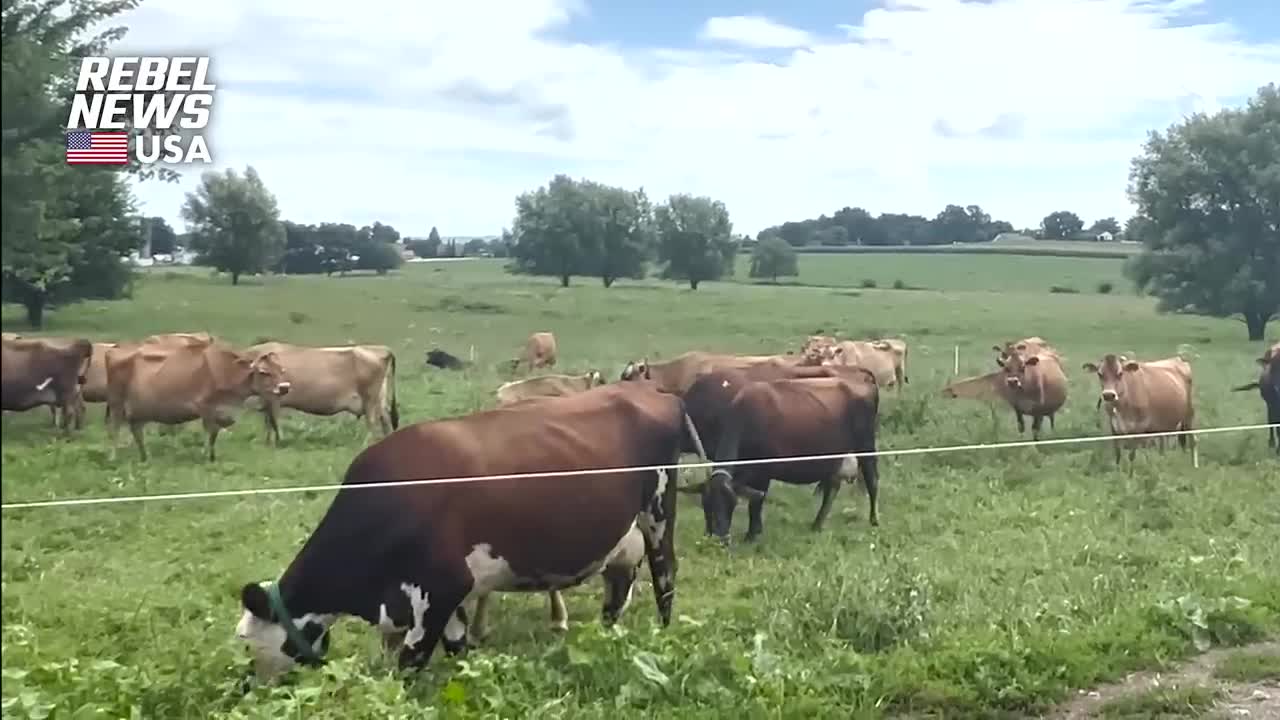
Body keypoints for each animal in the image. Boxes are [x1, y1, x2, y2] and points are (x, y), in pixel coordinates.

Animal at [106, 335, 291, 458]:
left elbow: (214, 433)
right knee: (115, 429)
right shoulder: (205, 406)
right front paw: (206, 455)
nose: (284, 387)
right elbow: (211, 432)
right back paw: (114, 457)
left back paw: (145, 457)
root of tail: (116, 348)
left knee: (137, 431)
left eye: (281, 370)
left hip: (139, 410)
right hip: (117, 402)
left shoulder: (221, 412)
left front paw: (212, 456)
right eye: (264, 372)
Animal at [235, 381, 706, 676]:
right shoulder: (449, 593)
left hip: (659, 509)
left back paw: (663, 634)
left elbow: (409, 666)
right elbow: (458, 648)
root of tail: (652, 390)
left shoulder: (440, 587)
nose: (245, 687)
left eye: (246, 643)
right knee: (619, 587)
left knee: (665, 571)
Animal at [241, 340, 396, 443]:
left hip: (370, 398)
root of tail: (381, 349)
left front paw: (276, 443)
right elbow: (268, 423)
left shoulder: (273, 398)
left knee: (372, 421)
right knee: (386, 420)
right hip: (379, 398)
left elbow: (273, 422)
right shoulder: (266, 401)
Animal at [680, 366, 880, 540]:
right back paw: (817, 524)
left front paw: (752, 534)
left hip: (865, 444)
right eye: (706, 505)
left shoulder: (763, 472)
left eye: (731, 503)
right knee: (832, 486)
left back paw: (873, 520)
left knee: (871, 479)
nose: (718, 538)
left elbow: (756, 503)